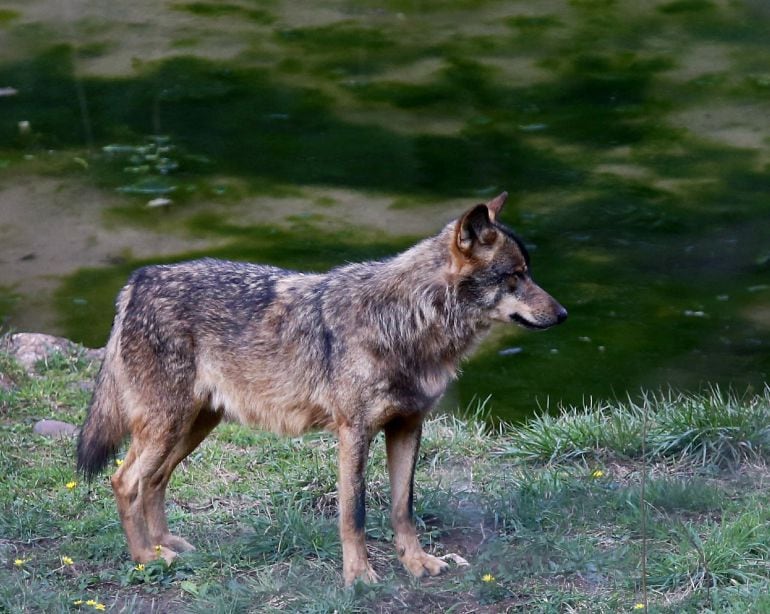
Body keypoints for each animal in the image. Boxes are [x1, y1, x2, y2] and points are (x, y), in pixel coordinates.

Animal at [78, 192, 564, 588]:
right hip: (168, 426)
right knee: (125, 480)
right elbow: (355, 514)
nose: (563, 314)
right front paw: (360, 577)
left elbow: (402, 509)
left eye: (528, 274)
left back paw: (166, 544)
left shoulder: (407, 427)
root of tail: (138, 280)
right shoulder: (353, 433)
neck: (408, 321)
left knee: (154, 479)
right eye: (514, 276)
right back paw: (146, 558)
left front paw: (417, 564)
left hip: (193, 427)